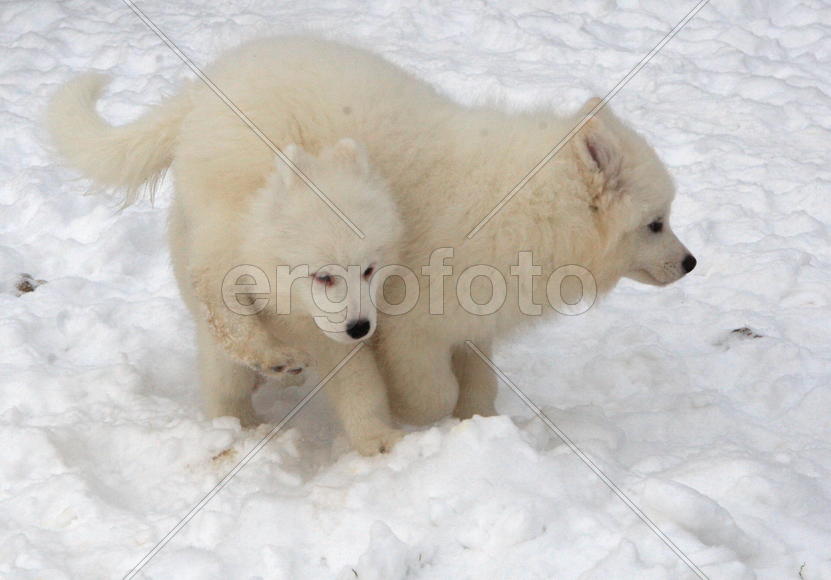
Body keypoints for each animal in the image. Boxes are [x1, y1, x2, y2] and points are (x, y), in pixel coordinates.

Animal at [47, 36, 696, 456]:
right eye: (656, 223)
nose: (692, 263)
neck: (530, 203)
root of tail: (204, 83)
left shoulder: (471, 317)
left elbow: (479, 380)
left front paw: (481, 422)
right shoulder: (411, 325)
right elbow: (429, 392)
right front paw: (412, 420)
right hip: (243, 225)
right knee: (218, 296)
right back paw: (262, 369)